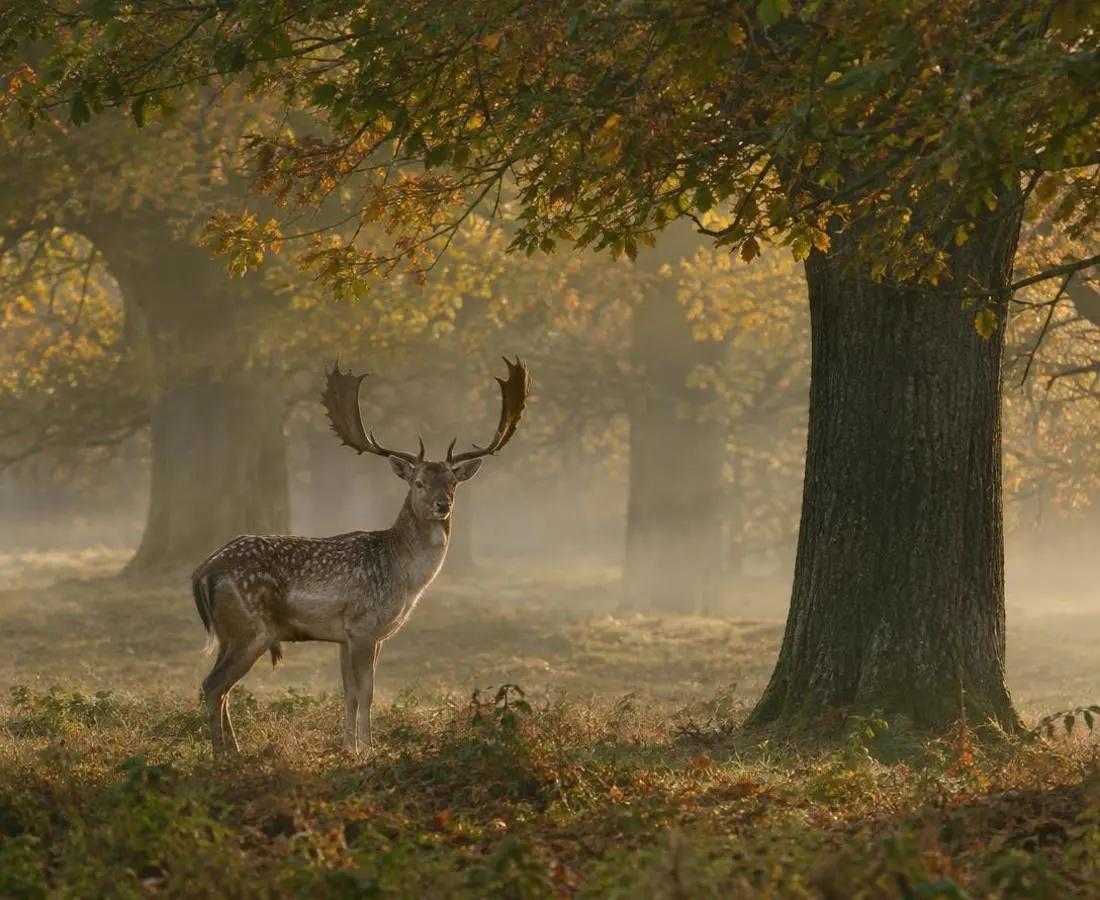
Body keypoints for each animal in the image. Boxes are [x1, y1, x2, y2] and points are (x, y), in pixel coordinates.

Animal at [190, 356, 530, 757]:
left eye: (452, 482)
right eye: (418, 482)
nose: (441, 505)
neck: (406, 580)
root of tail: (204, 571)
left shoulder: (347, 636)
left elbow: (349, 693)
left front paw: (348, 746)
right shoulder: (365, 625)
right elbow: (367, 692)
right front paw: (369, 748)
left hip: (230, 632)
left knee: (222, 688)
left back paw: (236, 750)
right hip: (253, 627)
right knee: (213, 685)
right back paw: (221, 756)